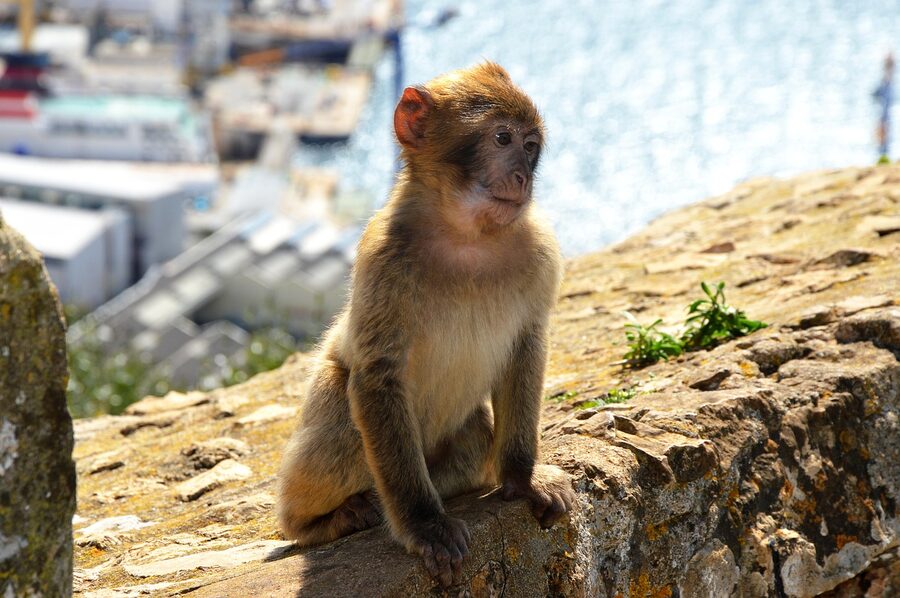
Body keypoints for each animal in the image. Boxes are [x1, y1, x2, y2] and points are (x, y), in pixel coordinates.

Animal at [277, 62, 575, 588]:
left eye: (531, 145)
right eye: (502, 138)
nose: (522, 176)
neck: (466, 234)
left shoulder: (541, 249)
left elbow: (527, 346)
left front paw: (522, 476)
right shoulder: (381, 257)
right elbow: (377, 376)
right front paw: (425, 525)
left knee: (474, 436)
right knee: (347, 417)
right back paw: (322, 521)